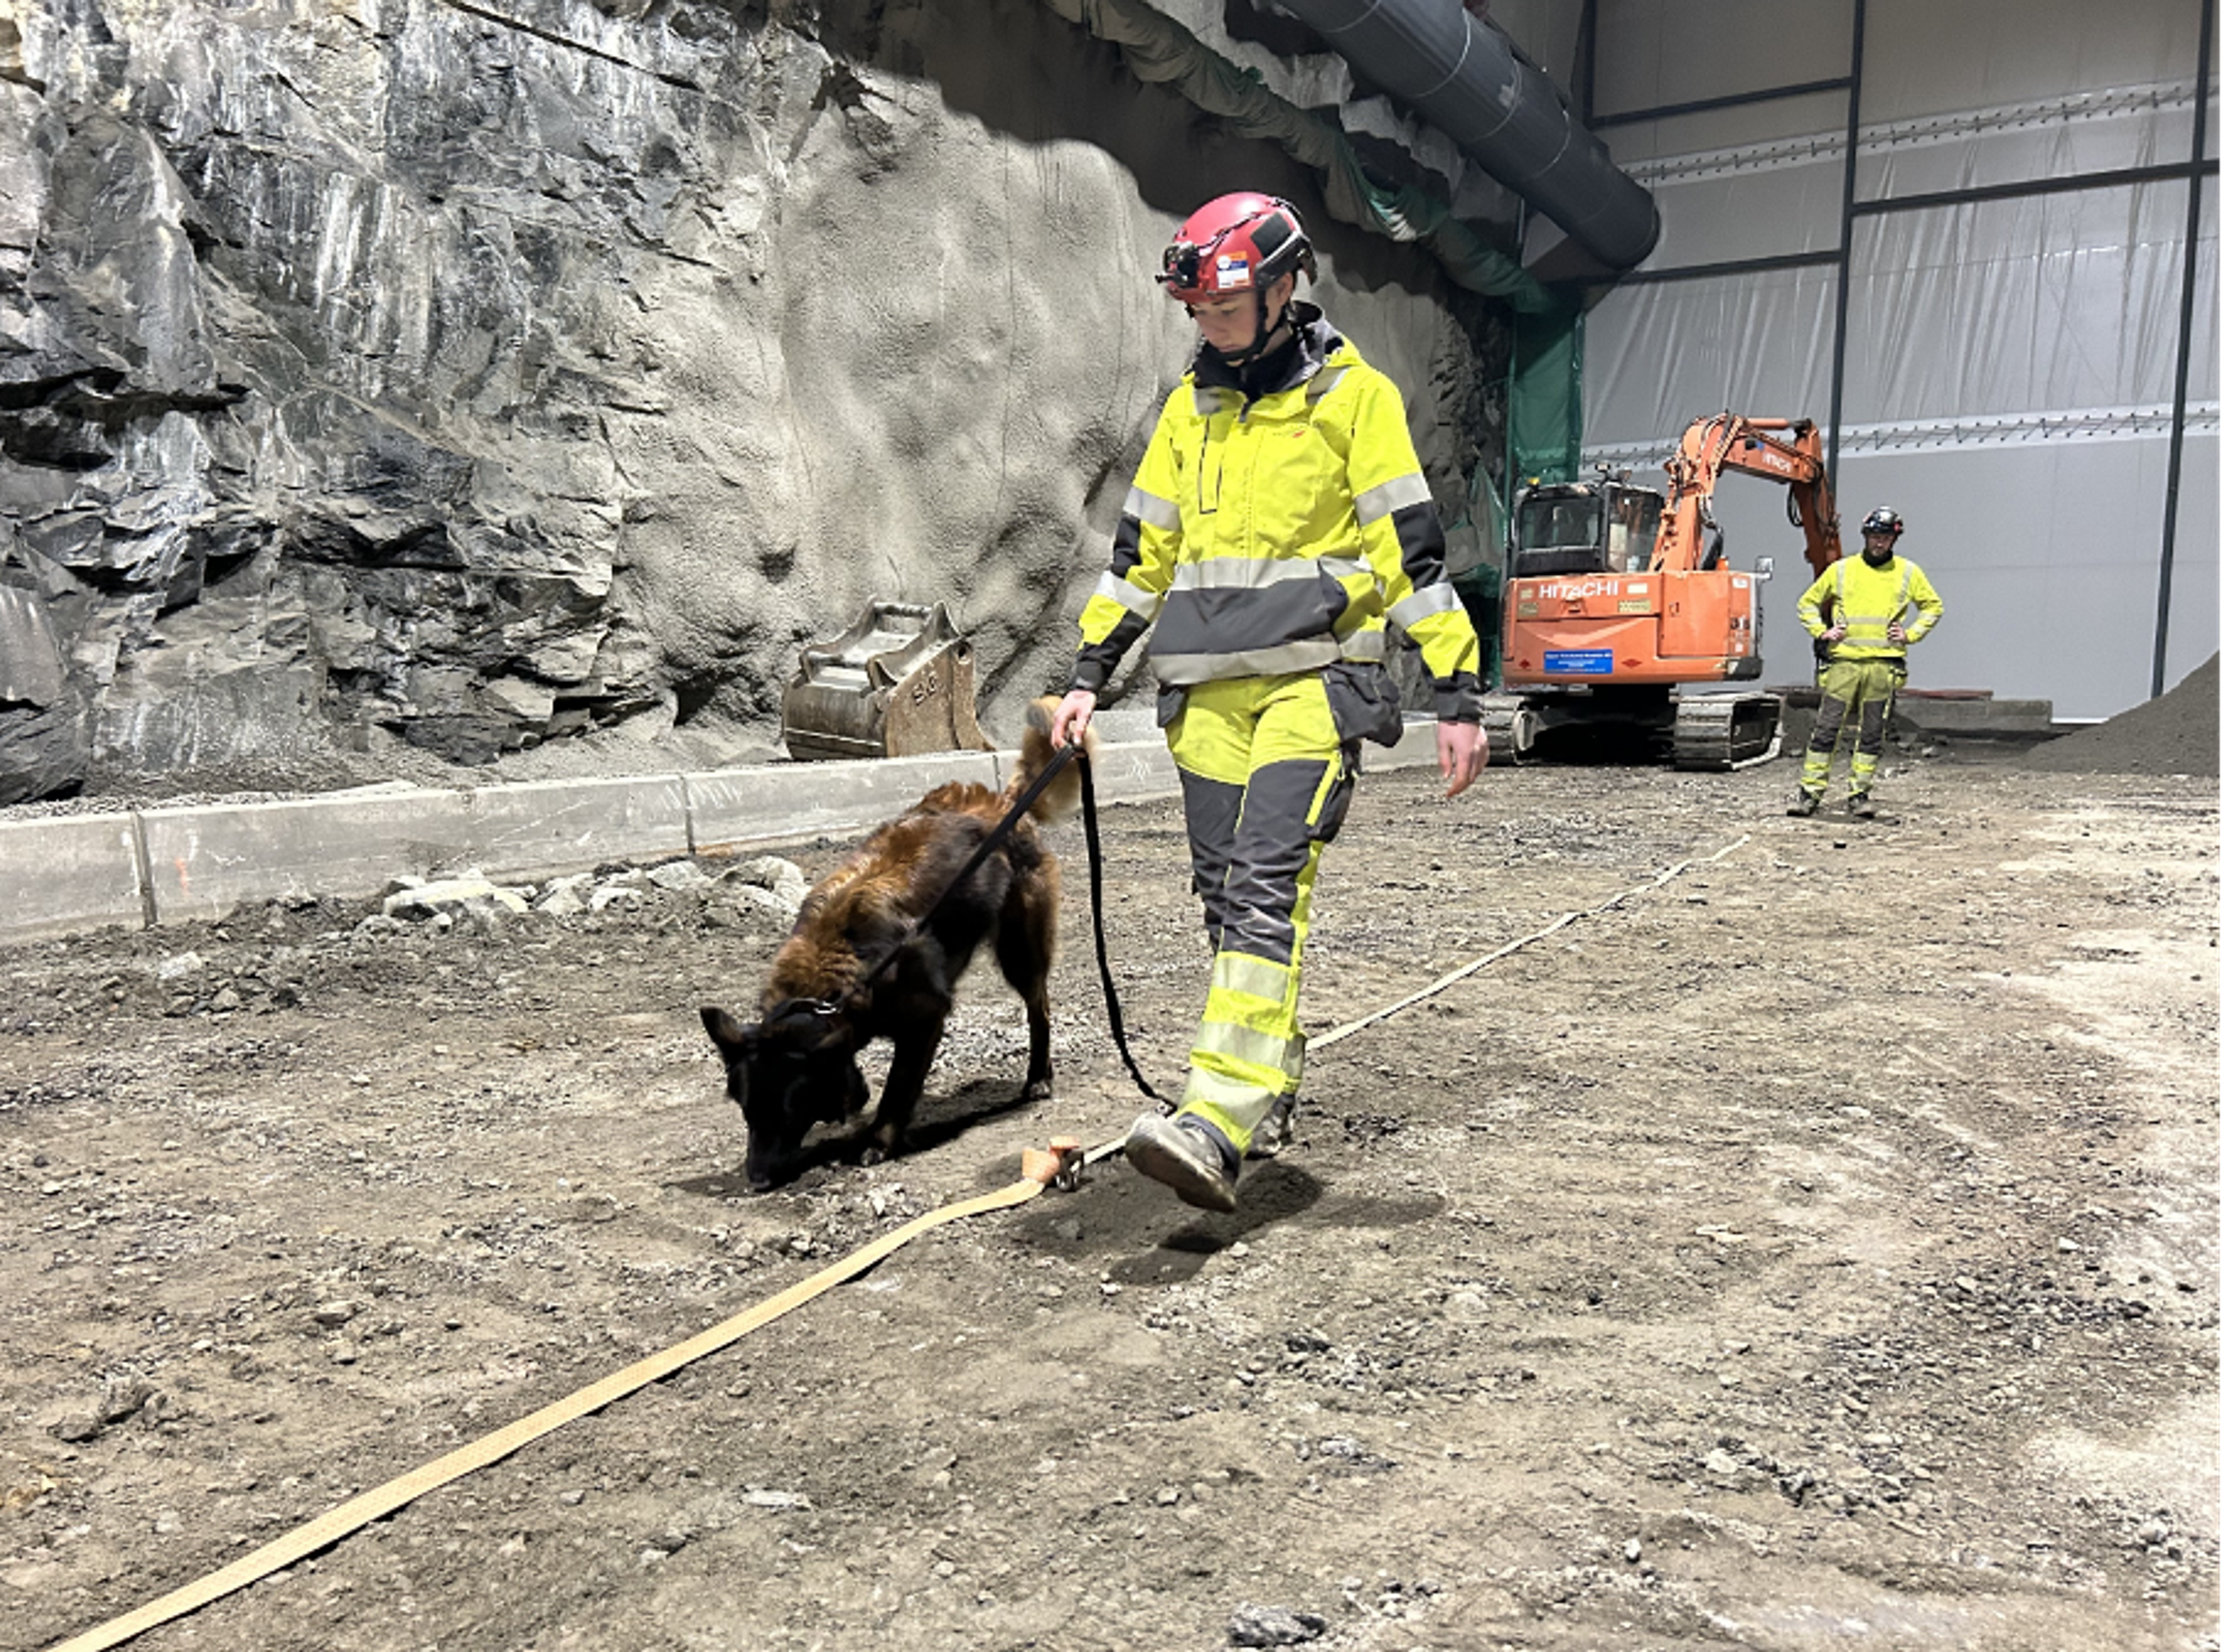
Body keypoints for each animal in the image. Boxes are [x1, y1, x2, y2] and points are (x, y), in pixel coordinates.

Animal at [697, 698, 1088, 1191]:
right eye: (747, 1111)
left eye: (789, 1111)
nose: (758, 1179)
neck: (835, 975)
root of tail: (1003, 799)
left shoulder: (925, 1019)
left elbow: (898, 1086)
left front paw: (877, 1142)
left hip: (1020, 951)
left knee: (1040, 1008)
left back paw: (1039, 1077)